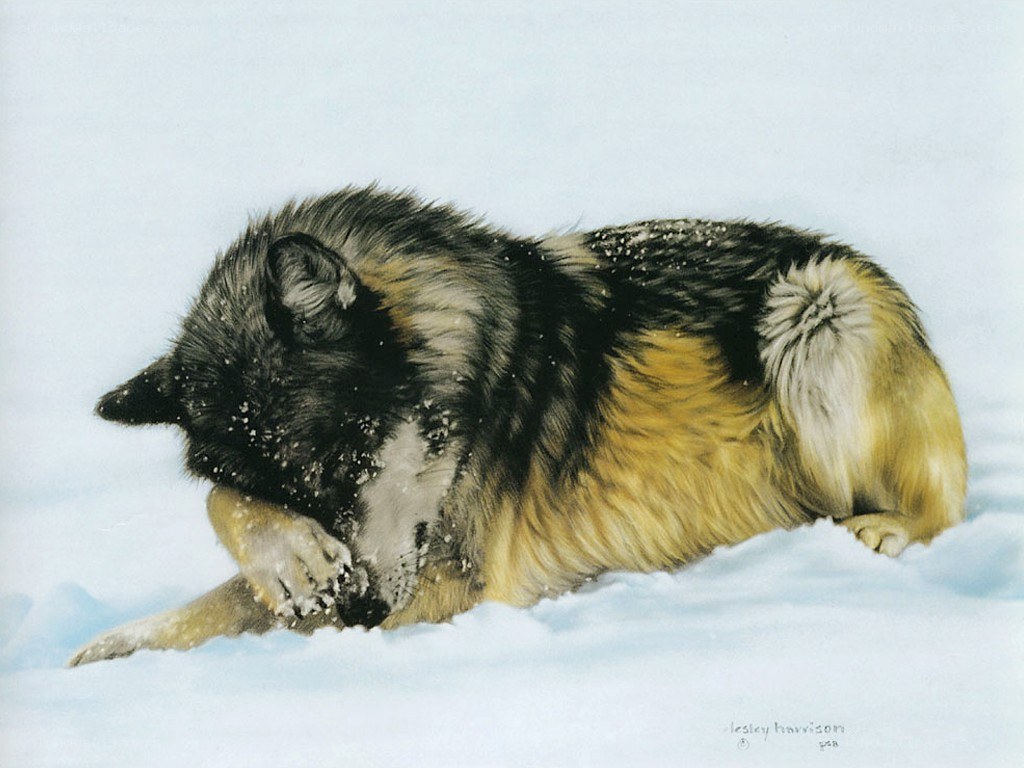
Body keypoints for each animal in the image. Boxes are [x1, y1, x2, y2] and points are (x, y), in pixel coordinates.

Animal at [70, 186, 967, 665]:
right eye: (289, 487)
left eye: (350, 459)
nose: (360, 613)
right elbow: (224, 538)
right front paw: (108, 648)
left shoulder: (449, 581)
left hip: (817, 309)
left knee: (940, 510)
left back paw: (877, 533)